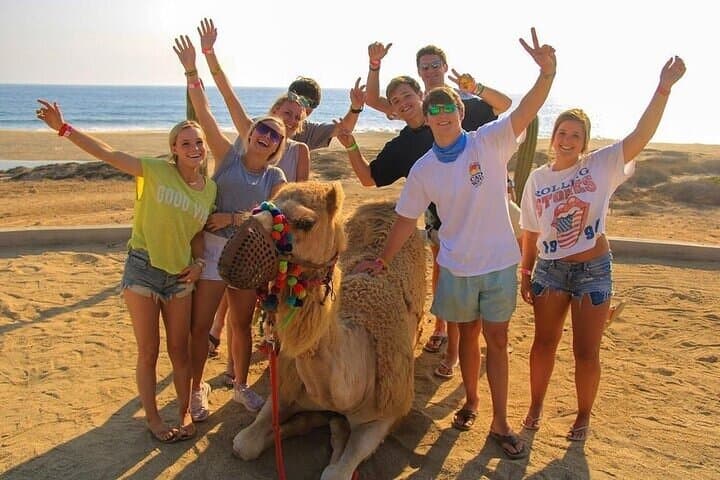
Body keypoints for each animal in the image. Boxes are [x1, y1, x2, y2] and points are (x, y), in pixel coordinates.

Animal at [229, 181, 426, 479]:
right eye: (259, 205)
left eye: (305, 222)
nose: (234, 249)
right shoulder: (287, 387)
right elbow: (244, 444)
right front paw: (315, 425)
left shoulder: (386, 412)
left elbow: (336, 472)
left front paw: (335, 434)